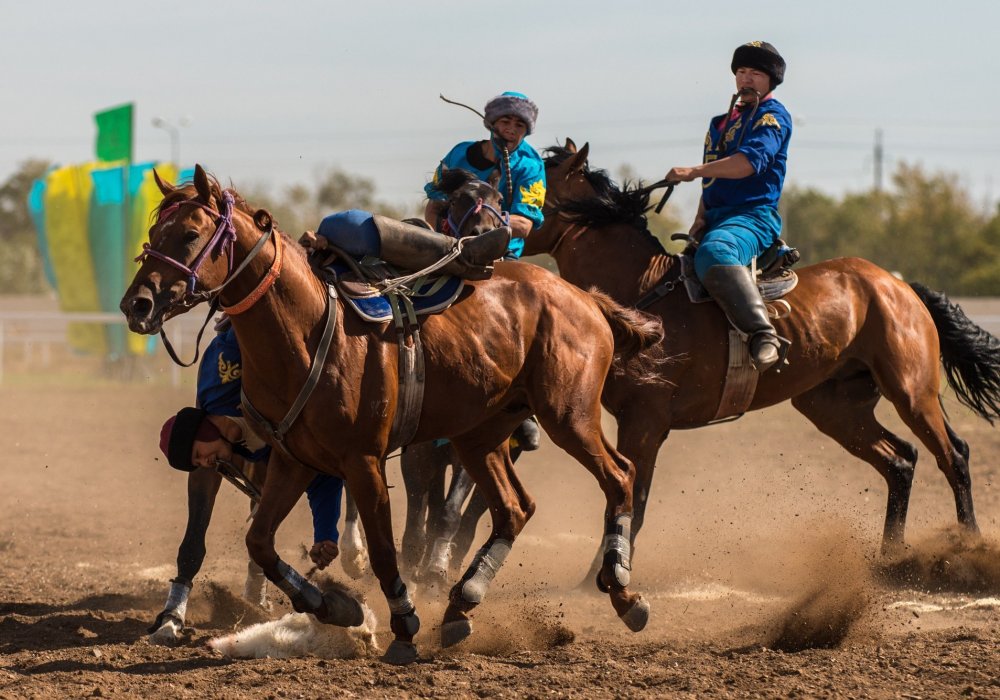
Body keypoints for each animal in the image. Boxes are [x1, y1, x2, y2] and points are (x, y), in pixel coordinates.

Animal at [119, 163, 664, 660]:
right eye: (153, 233)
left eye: (191, 233)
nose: (136, 304)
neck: (307, 328)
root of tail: (584, 298)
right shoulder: (293, 461)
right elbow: (260, 542)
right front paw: (337, 608)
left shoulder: (363, 462)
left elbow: (384, 550)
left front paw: (403, 625)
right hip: (481, 434)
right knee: (514, 507)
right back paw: (461, 604)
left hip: (568, 416)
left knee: (620, 476)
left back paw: (622, 590)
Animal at [524, 139, 1000, 584]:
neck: (643, 291)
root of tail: (897, 285)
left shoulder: (645, 422)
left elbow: (629, 500)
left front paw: (604, 575)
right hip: (833, 408)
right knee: (900, 462)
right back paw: (890, 560)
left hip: (912, 392)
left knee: (953, 456)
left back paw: (969, 548)